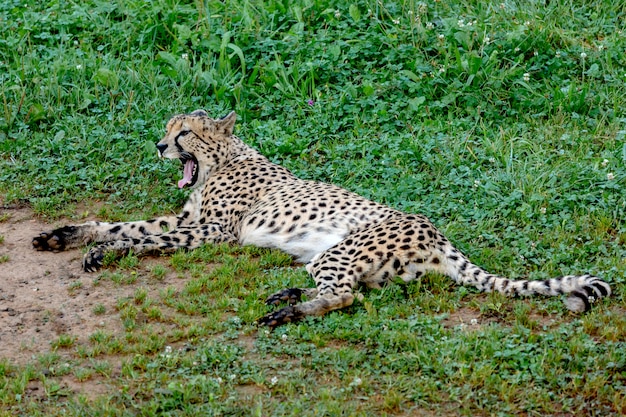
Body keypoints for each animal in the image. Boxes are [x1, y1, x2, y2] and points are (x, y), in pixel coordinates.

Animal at [33, 109, 608, 326]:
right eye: (168, 130)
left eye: (184, 134)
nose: (158, 146)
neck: (224, 159)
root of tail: (437, 233)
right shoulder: (184, 220)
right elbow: (121, 223)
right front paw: (67, 235)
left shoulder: (213, 233)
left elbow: (139, 239)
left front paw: (106, 251)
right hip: (336, 258)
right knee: (353, 289)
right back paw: (288, 295)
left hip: (342, 250)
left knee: (346, 296)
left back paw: (288, 311)